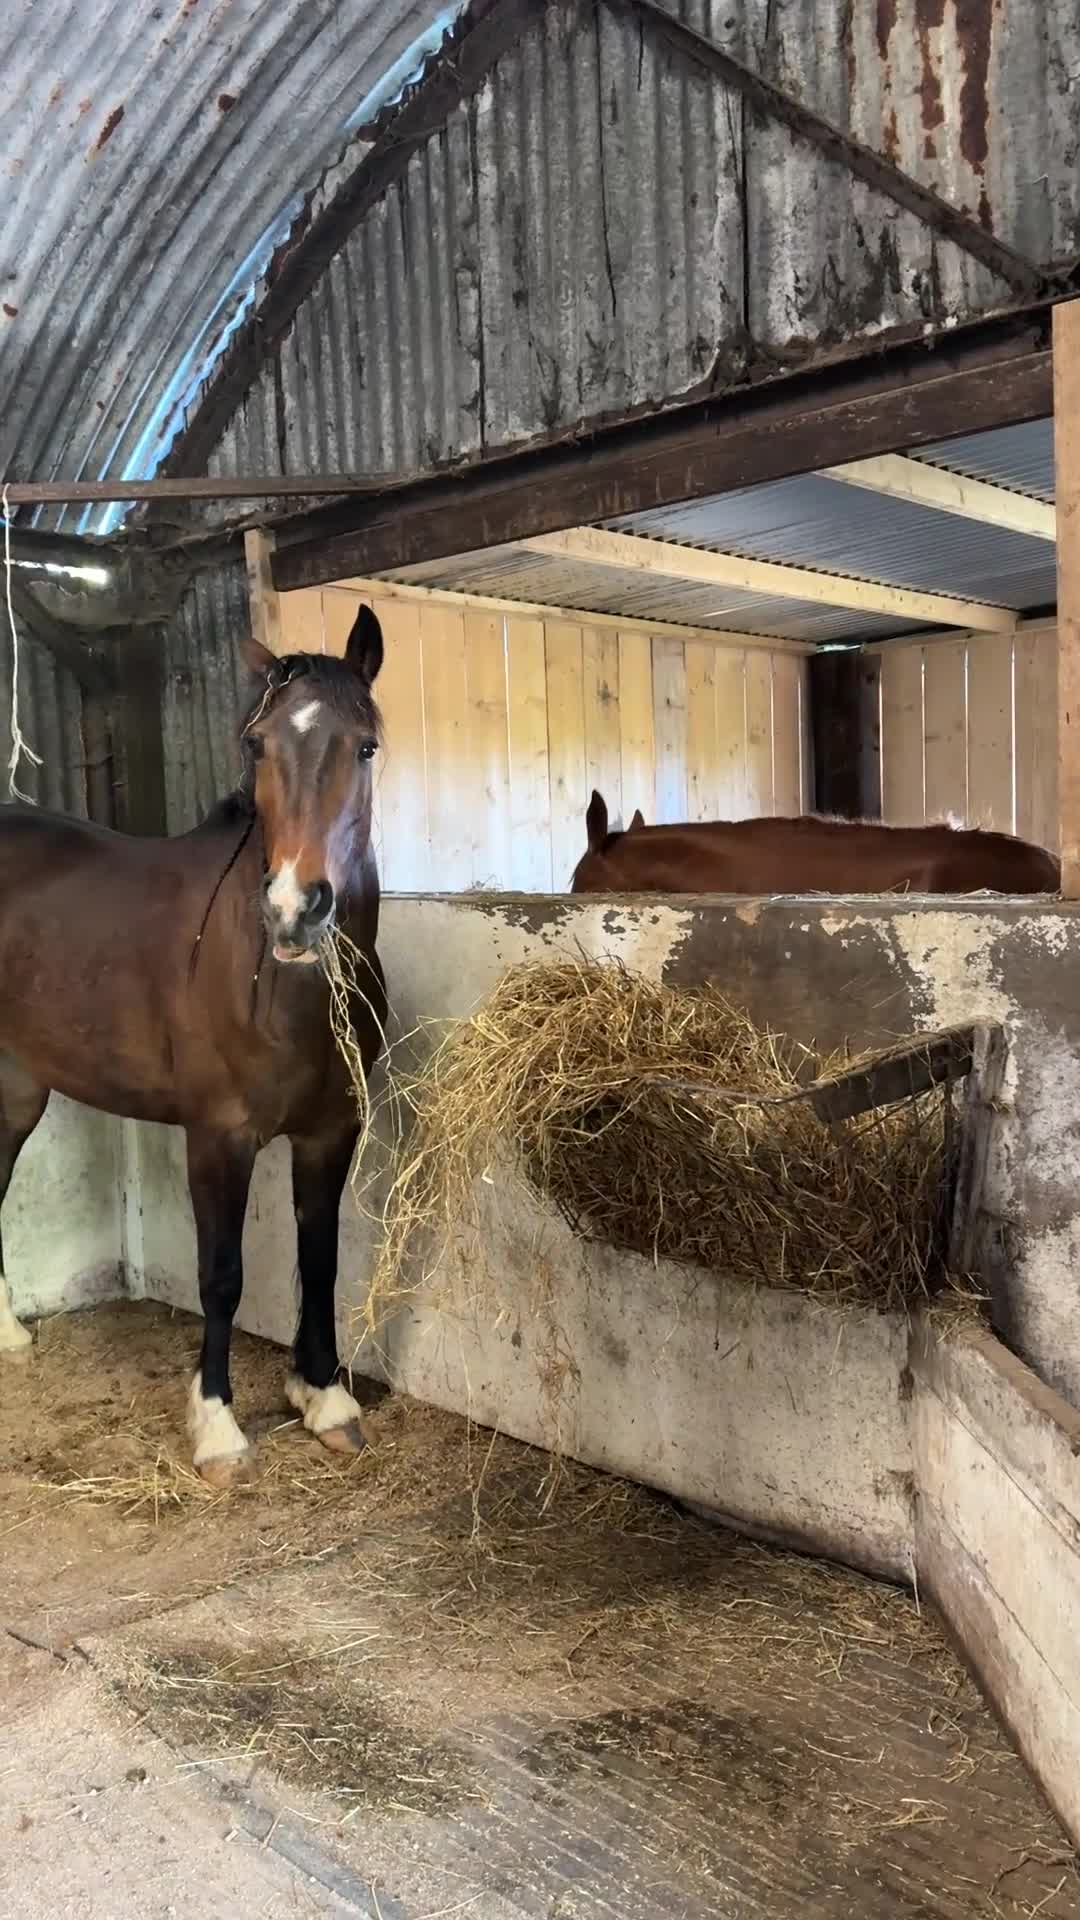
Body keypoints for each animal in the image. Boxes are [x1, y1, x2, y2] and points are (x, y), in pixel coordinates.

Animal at [0, 606, 388, 1487]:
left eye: (366, 745)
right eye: (258, 744)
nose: (295, 910)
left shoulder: (331, 1131)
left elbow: (320, 1258)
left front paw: (324, 1398)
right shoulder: (219, 1138)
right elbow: (222, 1276)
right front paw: (216, 1428)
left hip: (16, 1088)